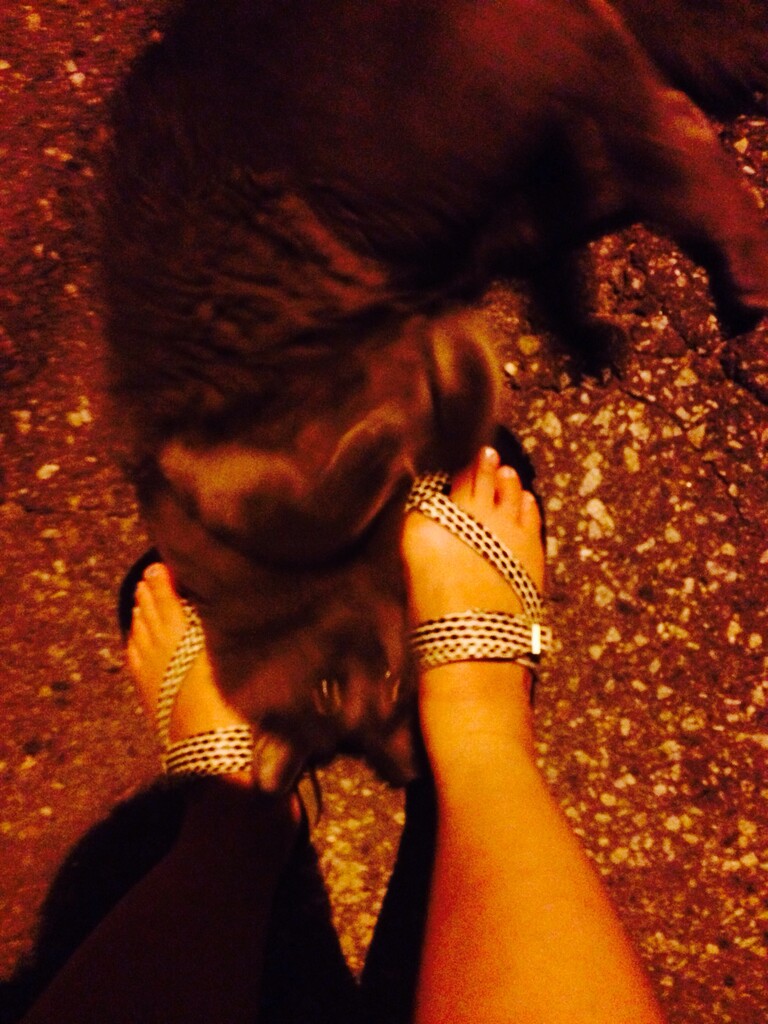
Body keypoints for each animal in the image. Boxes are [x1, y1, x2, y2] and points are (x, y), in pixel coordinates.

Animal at [103, 0, 768, 790]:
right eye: (367, 730)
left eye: (364, 690)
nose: (409, 767)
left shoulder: (235, 454)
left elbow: (294, 503)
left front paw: (423, 411)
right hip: (533, 155)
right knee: (654, 152)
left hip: (504, 93)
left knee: (675, 140)